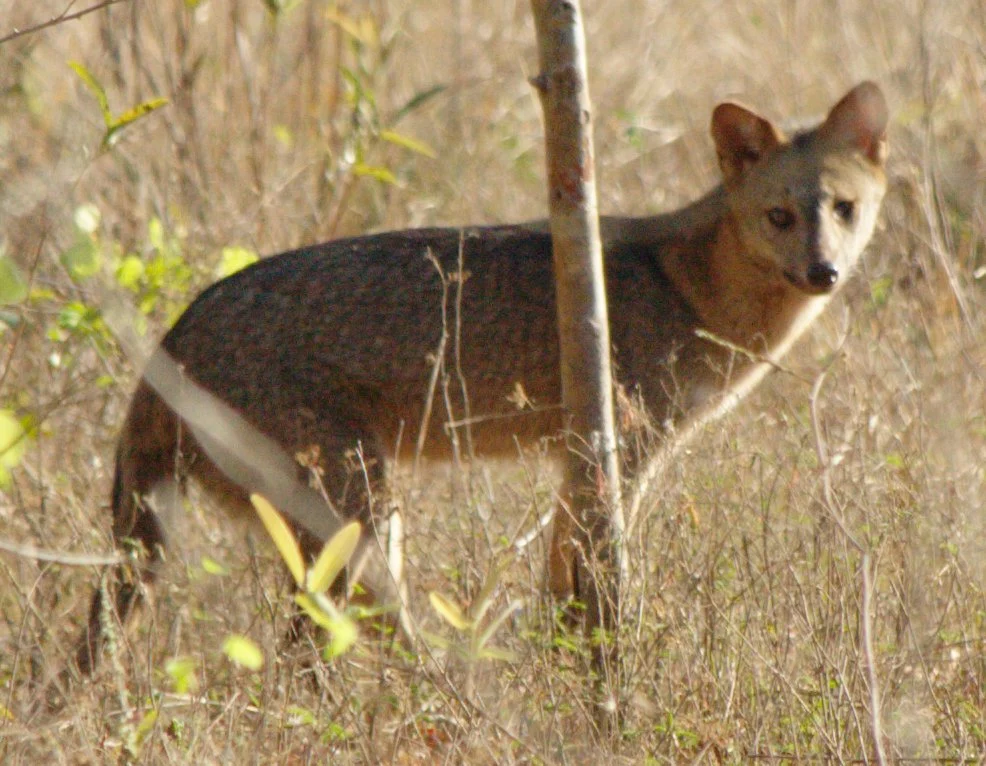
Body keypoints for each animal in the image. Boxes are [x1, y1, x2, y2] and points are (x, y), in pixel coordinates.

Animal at [73, 81, 888, 676]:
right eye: (780, 216)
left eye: (843, 210)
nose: (825, 271)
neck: (689, 284)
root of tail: (175, 333)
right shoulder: (615, 453)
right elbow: (601, 586)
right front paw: (607, 675)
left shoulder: (576, 462)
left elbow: (562, 589)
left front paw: (572, 673)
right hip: (361, 516)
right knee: (323, 647)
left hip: (356, 524)